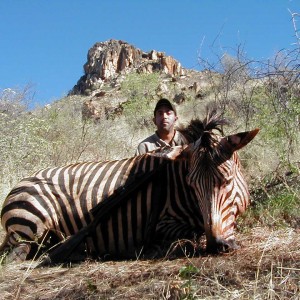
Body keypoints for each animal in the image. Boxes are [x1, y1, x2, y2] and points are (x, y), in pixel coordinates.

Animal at [0, 110, 258, 262]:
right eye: (192, 185)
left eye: (226, 180)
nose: (217, 246)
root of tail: (18, 184)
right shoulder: (163, 224)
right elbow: (191, 233)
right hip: (29, 229)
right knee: (17, 256)